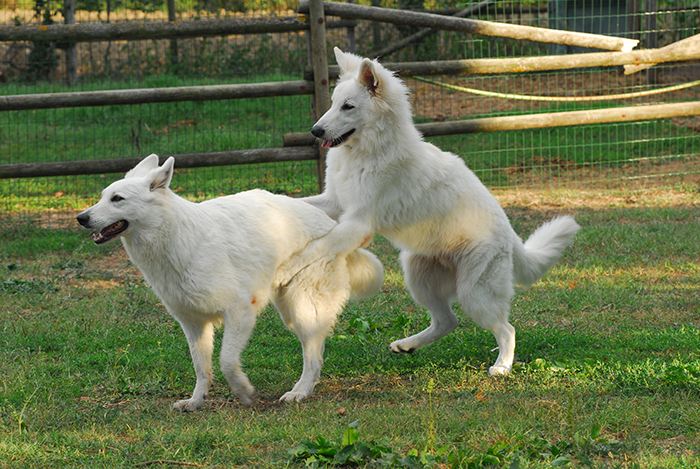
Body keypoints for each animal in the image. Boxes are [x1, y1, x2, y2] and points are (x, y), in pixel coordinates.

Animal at [278, 47, 580, 374]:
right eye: (333, 103)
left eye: (348, 106)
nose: (315, 131)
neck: (369, 151)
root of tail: (511, 236)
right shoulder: (334, 202)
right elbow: (295, 203)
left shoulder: (357, 223)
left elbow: (316, 248)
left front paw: (285, 269)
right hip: (419, 277)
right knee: (448, 321)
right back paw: (408, 345)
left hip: (475, 294)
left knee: (506, 329)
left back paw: (502, 366)